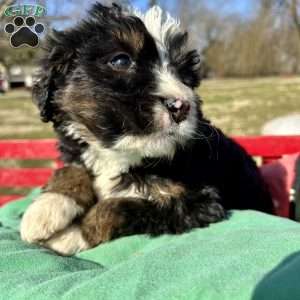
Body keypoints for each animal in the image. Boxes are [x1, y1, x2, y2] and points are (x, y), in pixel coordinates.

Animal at [20, 2, 274, 255]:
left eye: (185, 76)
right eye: (121, 61)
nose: (181, 106)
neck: (123, 156)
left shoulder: (198, 202)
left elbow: (117, 208)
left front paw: (72, 235)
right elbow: (70, 169)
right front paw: (46, 208)